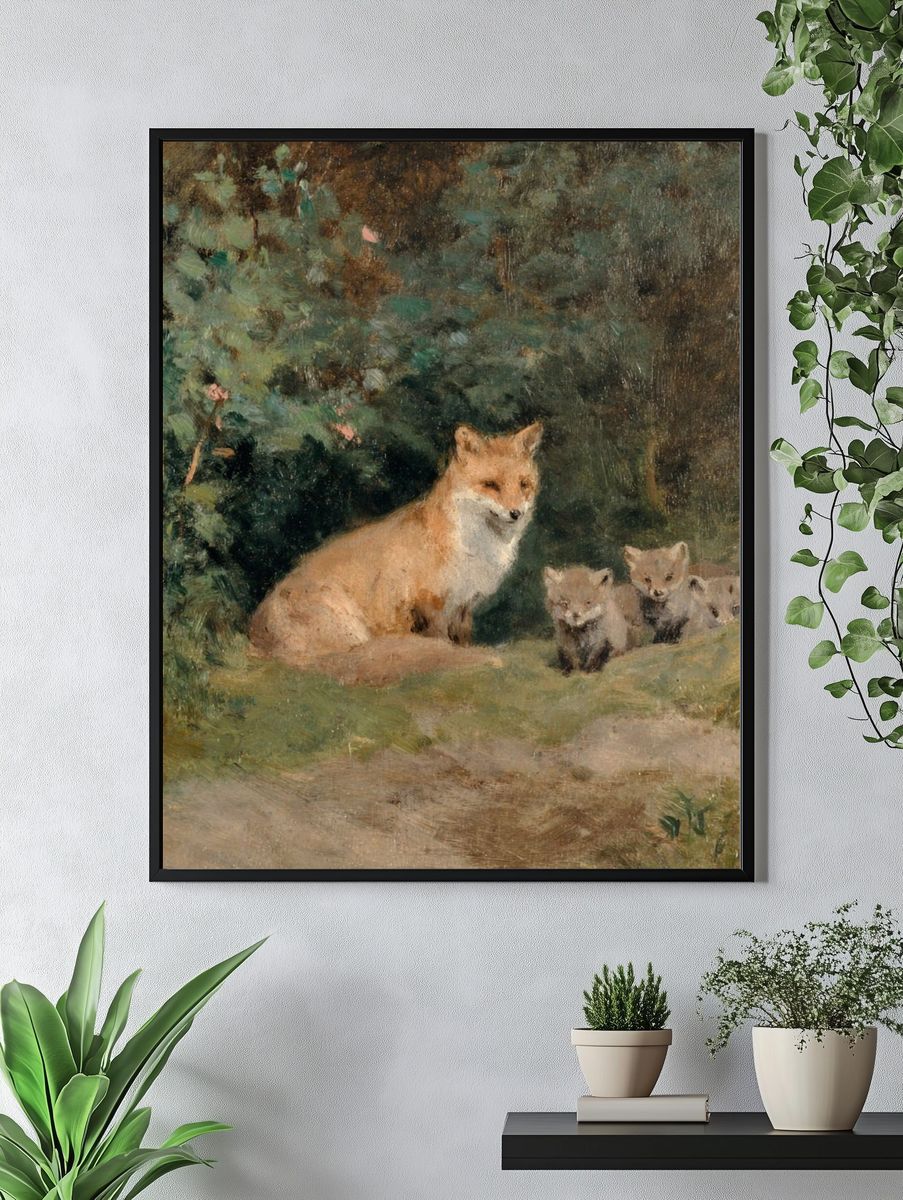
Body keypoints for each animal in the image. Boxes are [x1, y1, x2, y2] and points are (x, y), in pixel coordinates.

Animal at [248, 421, 543, 683]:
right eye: (491, 485)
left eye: (523, 484)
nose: (516, 513)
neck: (475, 549)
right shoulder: (430, 604)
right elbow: (442, 643)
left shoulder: (463, 605)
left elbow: (462, 641)